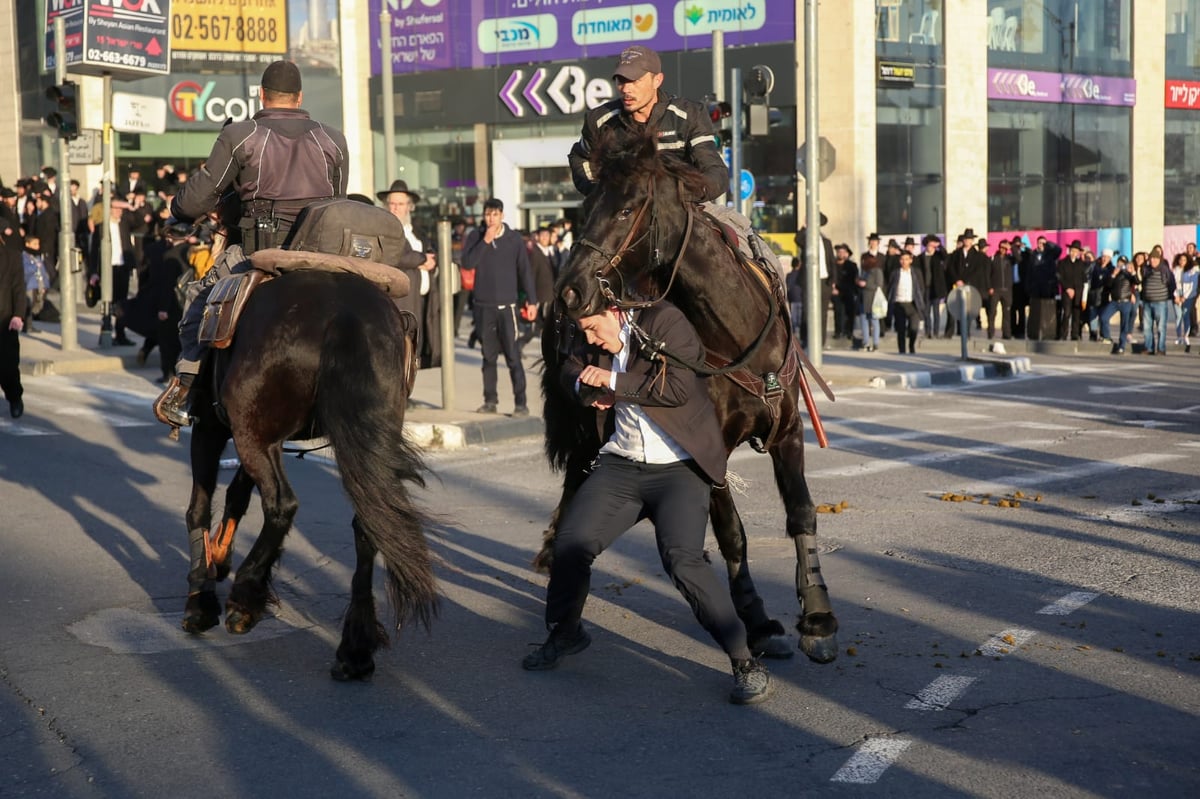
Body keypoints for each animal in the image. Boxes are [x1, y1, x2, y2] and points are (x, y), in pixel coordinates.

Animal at [182, 267, 436, 676]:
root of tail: (345, 314)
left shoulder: (211, 426)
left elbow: (199, 508)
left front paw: (199, 601)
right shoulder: (256, 439)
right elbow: (237, 494)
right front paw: (220, 558)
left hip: (251, 433)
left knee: (282, 504)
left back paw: (245, 599)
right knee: (368, 523)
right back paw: (354, 649)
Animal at [540, 125, 840, 657]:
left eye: (626, 208)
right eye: (585, 205)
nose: (570, 291)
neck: (736, 338)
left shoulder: (787, 433)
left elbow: (802, 512)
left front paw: (818, 616)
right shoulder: (707, 452)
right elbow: (733, 534)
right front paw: (757, 621)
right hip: (584, 432)